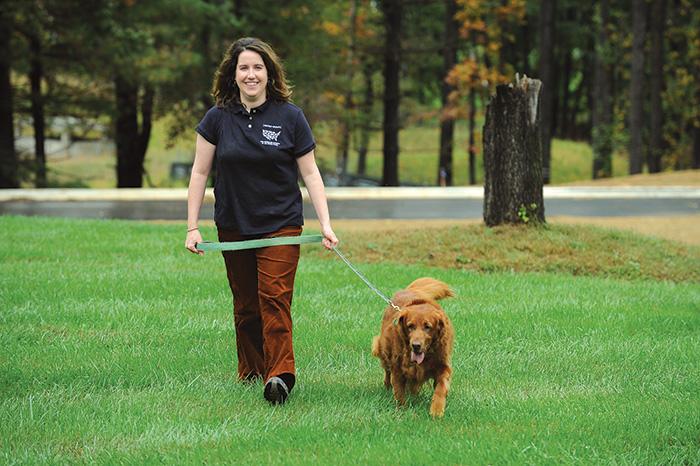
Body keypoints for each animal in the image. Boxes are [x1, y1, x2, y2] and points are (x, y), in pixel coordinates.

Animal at [372, 276, 454, 418]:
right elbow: (399, 392)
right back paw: (387, 387)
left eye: (428, 327)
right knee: (387, 372)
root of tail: (409, 290)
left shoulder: (442, 364)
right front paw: (402, 410)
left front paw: (436, 410)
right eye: (410, 326)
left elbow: (441, 387)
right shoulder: (398, 367)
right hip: (383, 349)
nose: (415, 346)